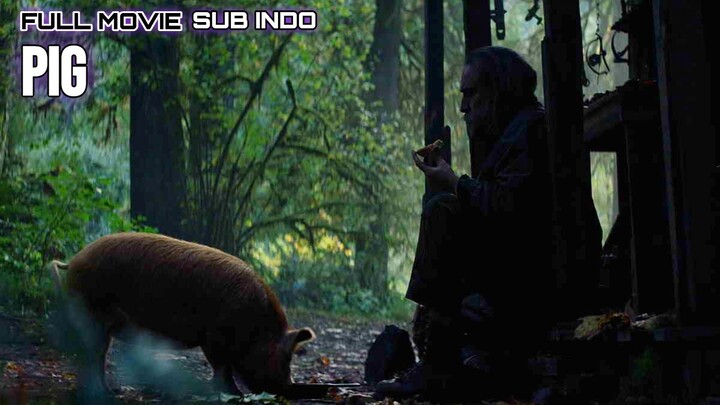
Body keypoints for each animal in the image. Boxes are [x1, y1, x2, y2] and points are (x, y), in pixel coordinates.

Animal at [51, 232, 314, 395]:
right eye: (285, 357)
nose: (288, 387)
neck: (255, 325)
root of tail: (73, 260)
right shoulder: (213, 338)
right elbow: (221, 367)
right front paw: (234, 394)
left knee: (94, 355)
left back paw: (110, 391)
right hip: (90, 312)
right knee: (92, 355)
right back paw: (104, 392)